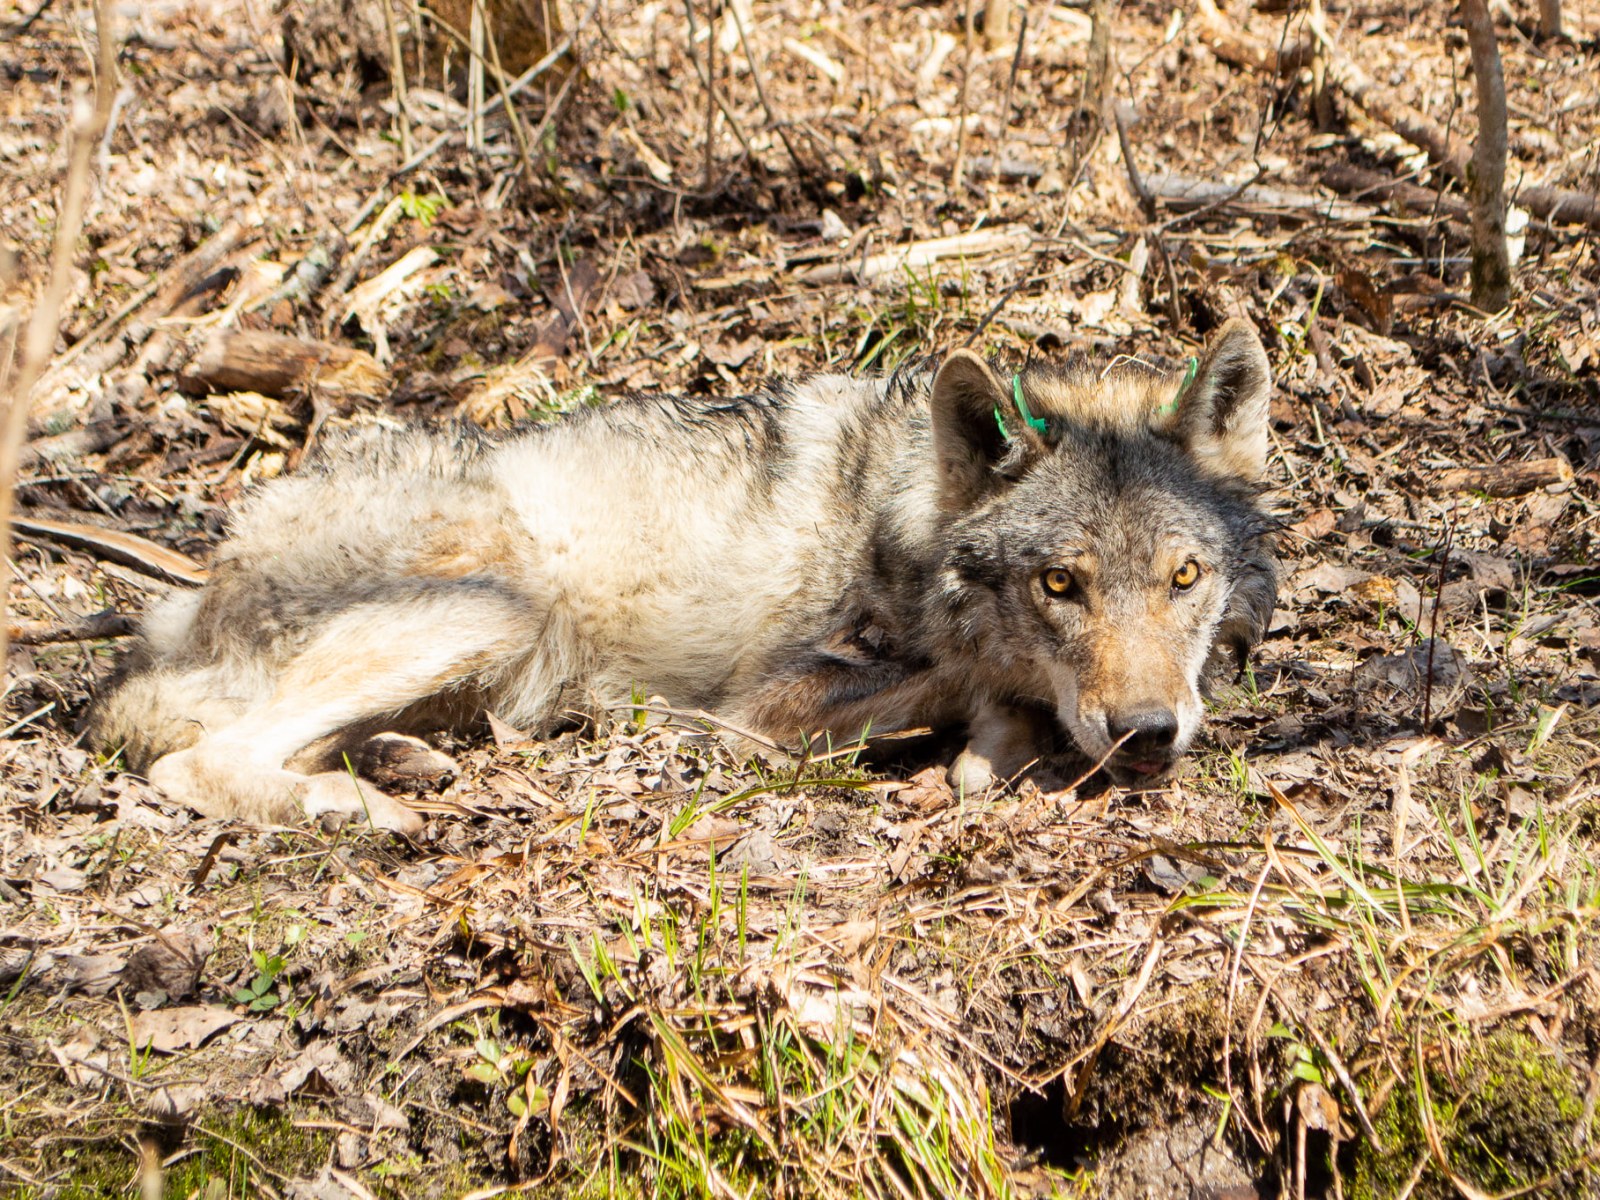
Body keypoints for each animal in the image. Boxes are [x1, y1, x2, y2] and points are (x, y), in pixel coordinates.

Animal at [90, 319, 1279, 833]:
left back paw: (400, 764)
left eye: (1184, 577)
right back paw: (360, 804)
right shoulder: (760, 704)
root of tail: (192, 592)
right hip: (496, 609)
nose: (1146, 732)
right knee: (193, 761)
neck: (901, 517)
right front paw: (998, 742)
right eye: (1059, 587)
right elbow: (973, 680)